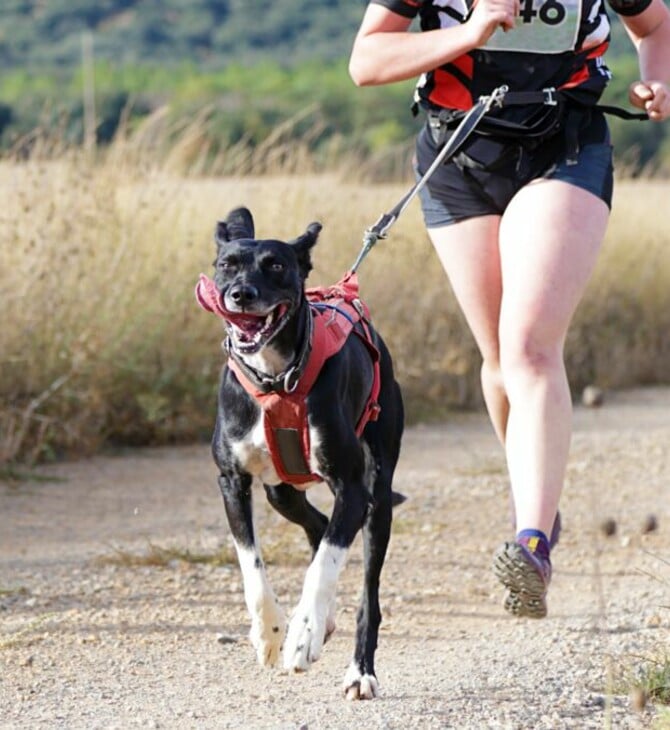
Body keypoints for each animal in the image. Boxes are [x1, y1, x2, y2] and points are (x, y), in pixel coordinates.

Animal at [201, 208, 404, 696]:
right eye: (227, 265)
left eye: (276, 265)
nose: (241, 294)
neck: (277, 379)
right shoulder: (232, 481)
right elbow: (251, 564)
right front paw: (272, 633)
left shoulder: (353, 488)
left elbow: (327, 562)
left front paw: (303, 633)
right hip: (282, 491)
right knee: (315, 524)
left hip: (378, 498)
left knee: (366, 590)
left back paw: (359, 670)